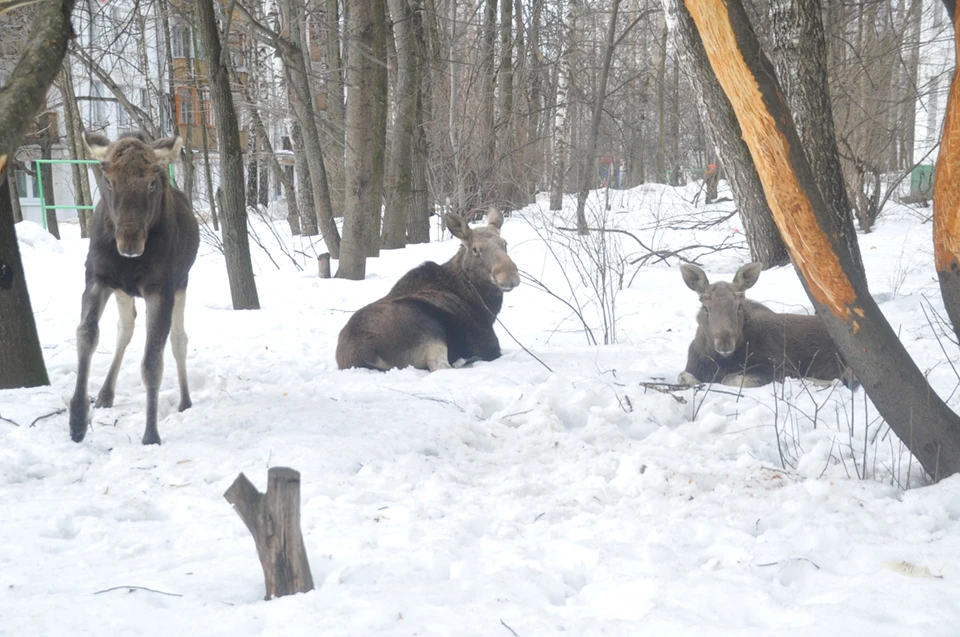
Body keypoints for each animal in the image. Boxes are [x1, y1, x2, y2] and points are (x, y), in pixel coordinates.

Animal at [71, 132, 201, 444]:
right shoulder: (97, 277)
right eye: (108, 180)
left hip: (181, 283)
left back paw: (185, 399)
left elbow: (153, 361)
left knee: (179, 339)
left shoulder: (160, 289)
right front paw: (77, 419)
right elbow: (86, 335)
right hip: (122, 291)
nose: (130, 242)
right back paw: (105, 393)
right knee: (125, 328)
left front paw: (151, 433)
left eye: (152, 182)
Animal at [676, 260, 856, 388]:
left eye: (739, 306)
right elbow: (683, 377)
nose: (725, 343)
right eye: (705, 307)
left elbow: (730, 378)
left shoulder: (781, 367)